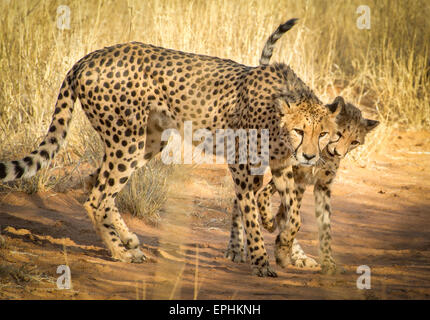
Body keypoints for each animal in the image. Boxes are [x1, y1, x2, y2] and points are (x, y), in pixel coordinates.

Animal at [0, 18, 342, 276]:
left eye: (324, 133)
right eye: (299, 130)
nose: (310, 155)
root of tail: (89, 57)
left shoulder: (281, 165)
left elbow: (294, 214)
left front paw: (283, 245)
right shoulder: (242, 163)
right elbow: (250, 212)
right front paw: (261, 260)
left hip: (148, 140)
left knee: (95, 183)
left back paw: (128, 242)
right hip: (128, 140)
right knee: (97, 196)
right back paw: (121, 253)